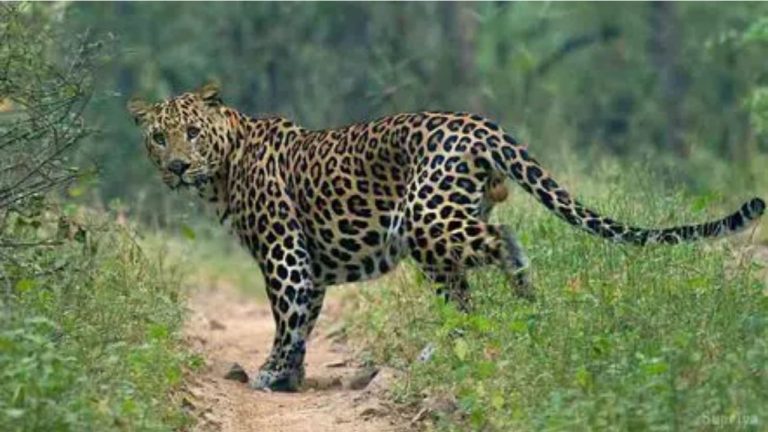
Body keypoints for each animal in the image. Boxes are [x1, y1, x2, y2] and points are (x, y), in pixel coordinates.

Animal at [127, 82, 765, 392]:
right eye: (159, 137)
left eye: (191, 133)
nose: (176, 167)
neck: (224, 167)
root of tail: (480, 124)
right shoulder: (308, 263)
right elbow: (304, 319)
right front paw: (291, 377)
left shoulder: (284, 253)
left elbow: (288, 318)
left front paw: (269, 373)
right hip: (437, 237)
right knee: (463, 297)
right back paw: (459, 345)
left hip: (425, 216)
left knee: (504, 240)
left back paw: (526, 302)